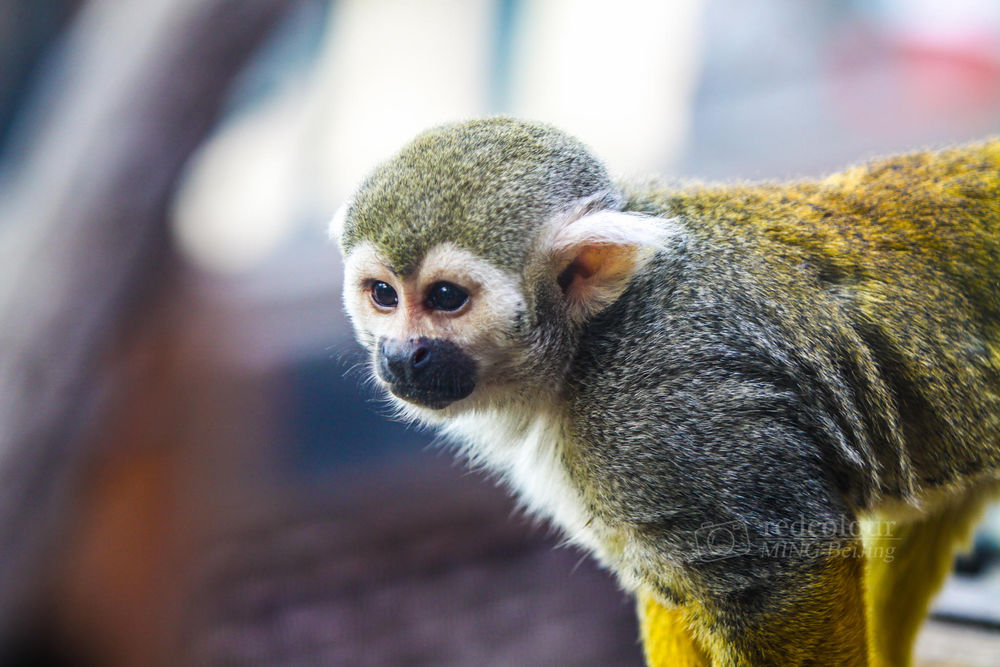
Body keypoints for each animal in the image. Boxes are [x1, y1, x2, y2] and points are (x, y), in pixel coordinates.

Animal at [331, 117, 1000, 666]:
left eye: (446, 298)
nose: (401, 354)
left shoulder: (662, 413)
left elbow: (786, 569)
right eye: (383, 295)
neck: (588, 342)